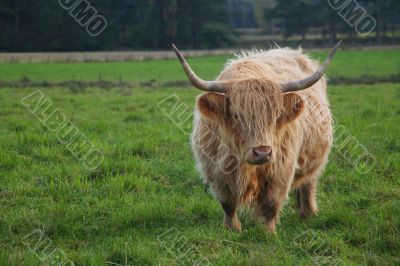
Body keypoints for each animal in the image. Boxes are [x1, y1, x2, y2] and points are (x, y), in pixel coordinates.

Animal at [172, 41, 340, 233]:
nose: (262, 152)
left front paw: (268, 233)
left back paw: (308, 214)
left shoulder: (281, 170)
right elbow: (228, 204)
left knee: (308, 184)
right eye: (236, 116)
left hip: (313, 160)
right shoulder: (216, 171)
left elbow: (270, 205)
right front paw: (232, 229)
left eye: (276, 115)